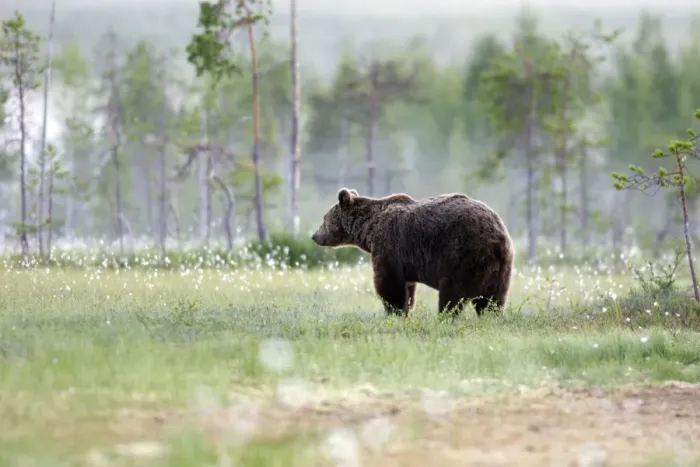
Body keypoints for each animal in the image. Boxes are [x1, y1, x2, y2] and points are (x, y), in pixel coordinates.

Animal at [311, 188, 514, 317]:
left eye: (324, 219)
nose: (314, 236)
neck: (368, 229)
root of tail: (497, 235)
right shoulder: (405, 261)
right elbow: (408, 288)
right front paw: (406, 309)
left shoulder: (388, 246)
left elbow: (389, 283)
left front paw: (395, 312)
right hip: (501, 267)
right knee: (493, 298)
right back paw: (489, 315)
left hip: (461, 255)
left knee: (452, 293)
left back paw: (444, 316)